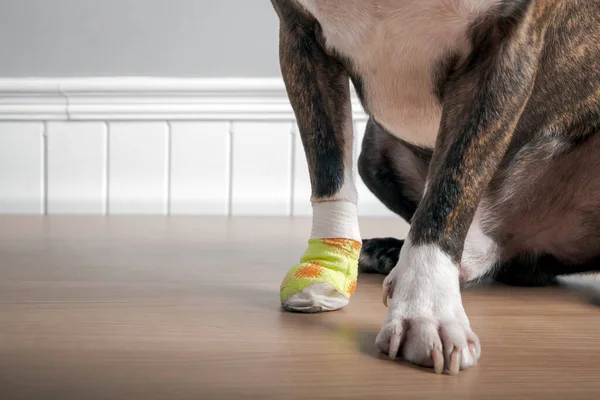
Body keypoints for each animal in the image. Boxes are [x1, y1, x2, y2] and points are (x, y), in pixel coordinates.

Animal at [270, 0, 600, 376]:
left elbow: (447, 195)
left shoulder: (503, 46)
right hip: (373, 148)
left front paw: (425, 310)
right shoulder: (301, 37)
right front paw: (325, 270)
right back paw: (390, 253)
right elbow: (330, 172)